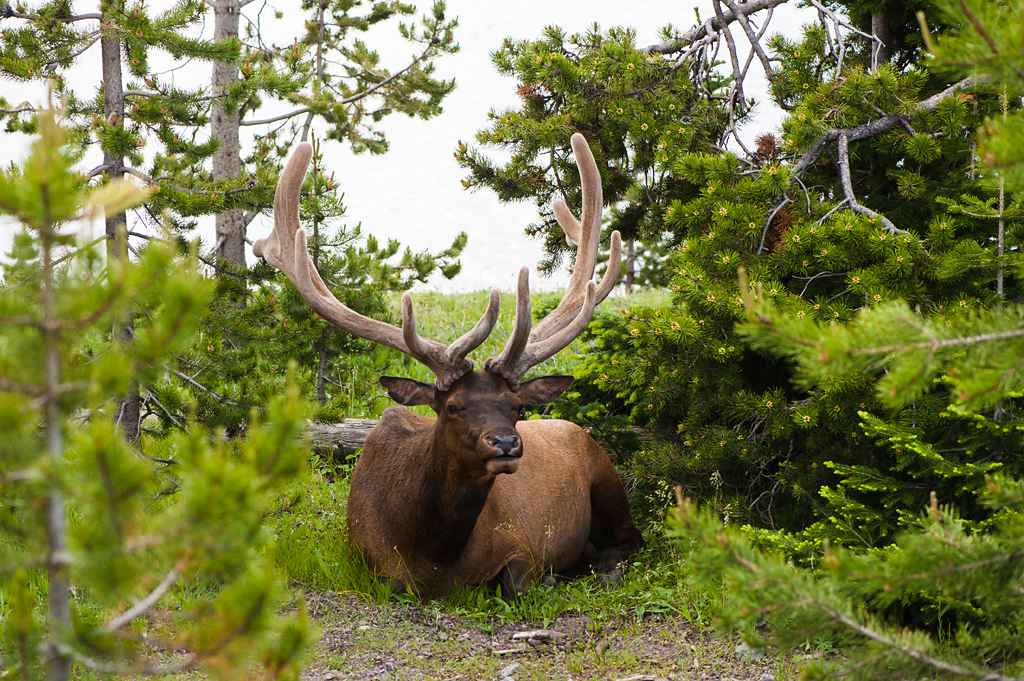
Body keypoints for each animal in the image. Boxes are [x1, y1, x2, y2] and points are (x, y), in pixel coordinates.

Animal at [253, 133, 638, 593]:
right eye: (452, 406)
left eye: (517, 407)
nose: (506, 443)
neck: (433, 555)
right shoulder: (366, 563)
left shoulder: (520, 543)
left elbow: (516, 584)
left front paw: (550, 578)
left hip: (606, 473)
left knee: (632, 535)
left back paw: (604, 565)